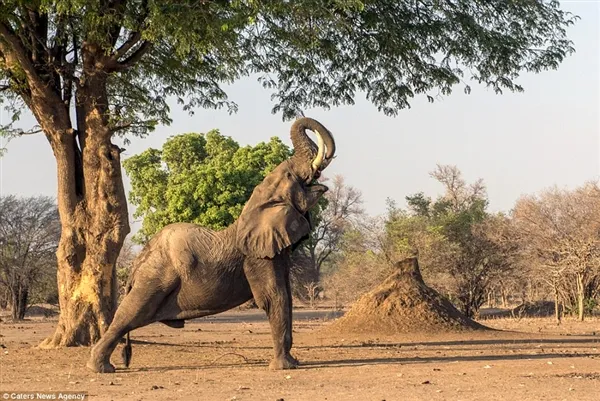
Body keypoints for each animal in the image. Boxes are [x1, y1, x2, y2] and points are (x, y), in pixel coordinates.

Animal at [86, 115, 336, 372]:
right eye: (290, 176)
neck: (257, 202)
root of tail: (138, 262)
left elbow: (285, 293)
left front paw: (292, 363)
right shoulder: (257, 256)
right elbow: (274, 296)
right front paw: (284, 367)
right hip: (153, 278)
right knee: (130, 313)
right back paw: (100, 368)